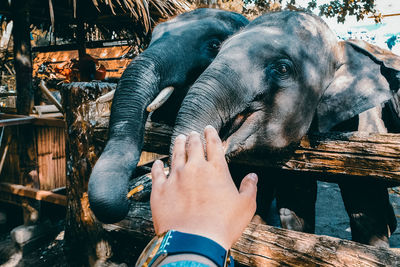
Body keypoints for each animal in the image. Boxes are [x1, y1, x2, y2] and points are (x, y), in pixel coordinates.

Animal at [171, 11, 400, 248]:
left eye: (282, 69)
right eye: (218, 48)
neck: (338, 48)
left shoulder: (363, 129)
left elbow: (365, 203)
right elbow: (295, 200)